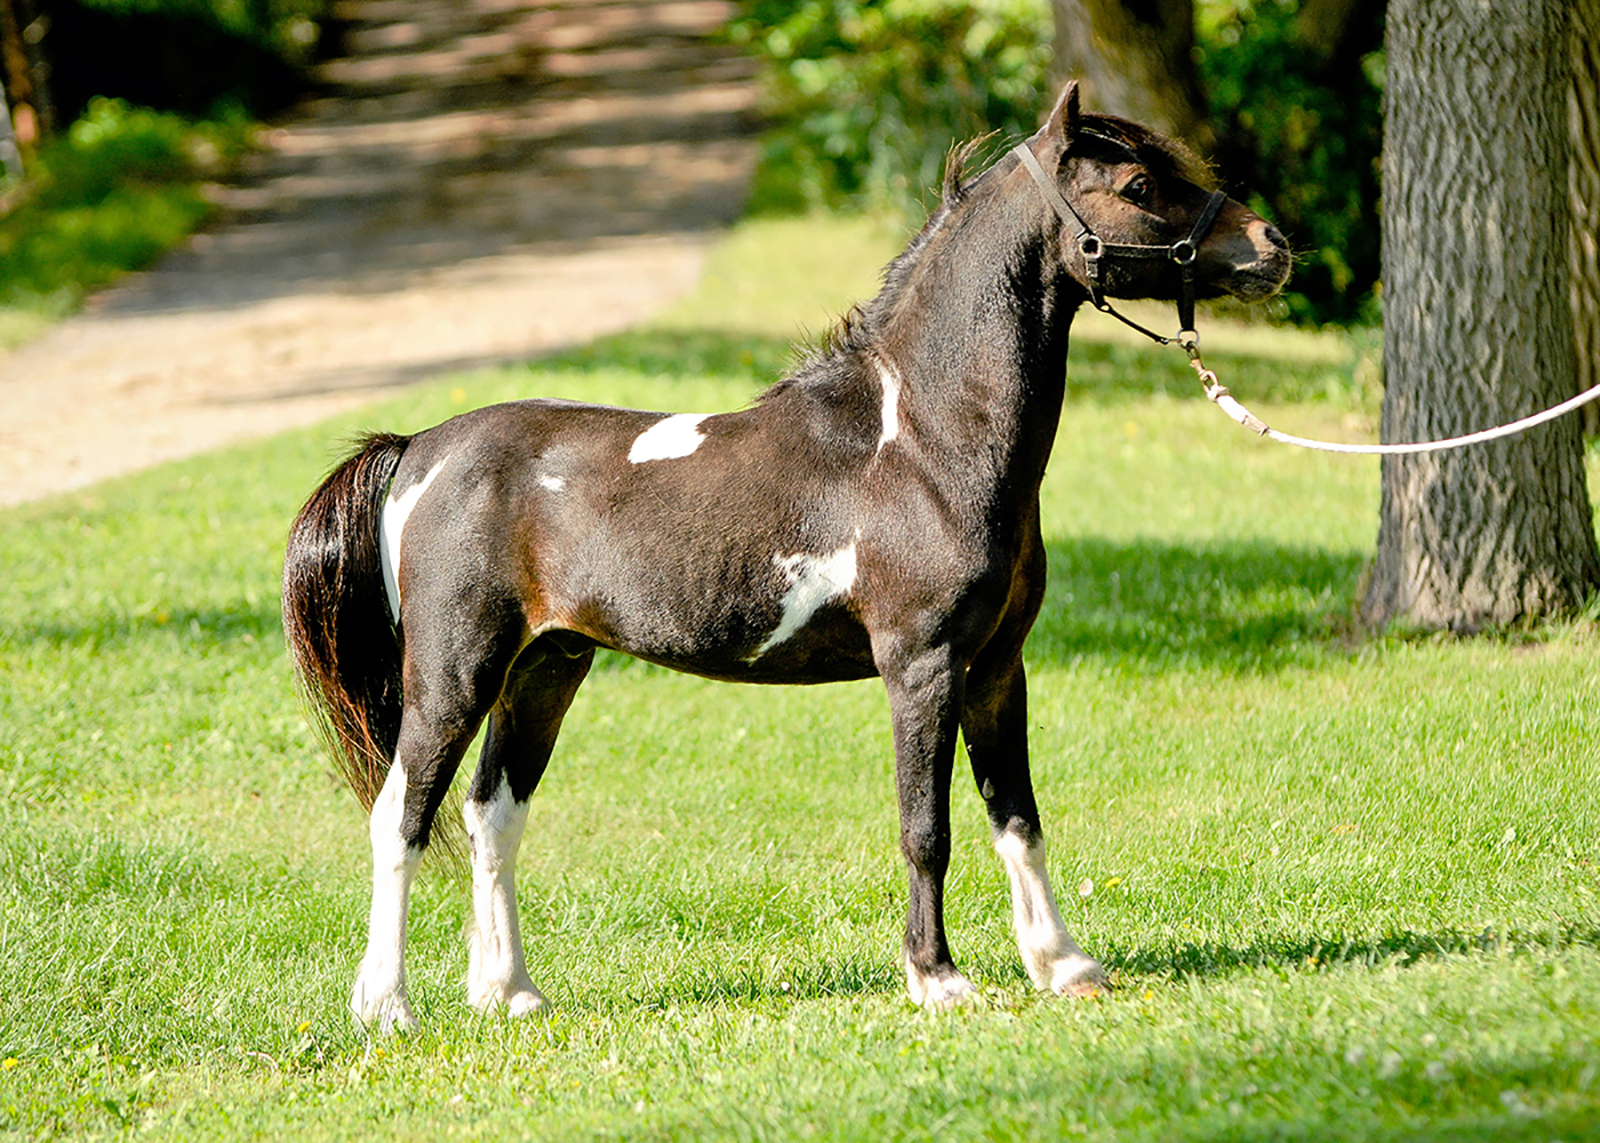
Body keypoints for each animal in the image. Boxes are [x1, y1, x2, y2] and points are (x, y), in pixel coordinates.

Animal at [281, 82, 1291, 1030]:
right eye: (1138, 185)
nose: (1273, 245)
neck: (920, 439)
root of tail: (420, 448)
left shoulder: (999, 666)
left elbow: (1017, 814)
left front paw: (1064, 965)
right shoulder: (922, 664)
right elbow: (927, 828)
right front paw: (939, 979)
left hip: (546, 666)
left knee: (494, 814)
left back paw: (511, 992)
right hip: (455, 673)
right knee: (402, 814)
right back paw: (386, 1005)